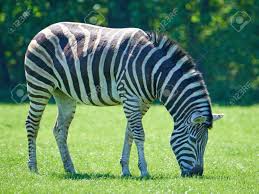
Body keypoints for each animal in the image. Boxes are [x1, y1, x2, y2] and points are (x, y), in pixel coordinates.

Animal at [24, 22, 224, 178]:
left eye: (206, 141)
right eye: (192, 139)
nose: (197, 174)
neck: (154, 72)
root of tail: (45, 28)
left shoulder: (142, 103)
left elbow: (130, 133)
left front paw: (126, 170)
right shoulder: (130, 97)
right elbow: (139, 134)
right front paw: (144, 171)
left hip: (63, 93)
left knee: (60, 129)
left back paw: (70, 169)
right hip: (39, 84)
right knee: (32, 124)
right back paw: (33, 168)